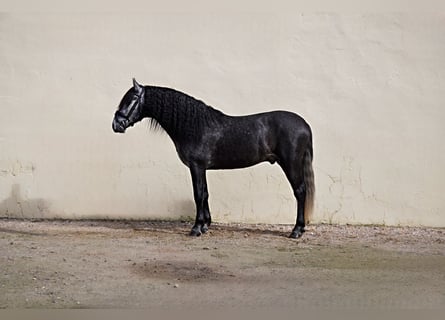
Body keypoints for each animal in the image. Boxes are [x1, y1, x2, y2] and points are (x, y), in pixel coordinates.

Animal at [112, 78, 314, 238]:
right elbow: (205, 193)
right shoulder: (202, 168)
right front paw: (206, 225)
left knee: (300, 191)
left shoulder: (196, 166)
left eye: (132, 99)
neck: (194, 127)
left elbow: (198, 194)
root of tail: (304, 124)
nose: (116, 124)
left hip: (291, 164)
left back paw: (296, 230)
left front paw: (196, 228)